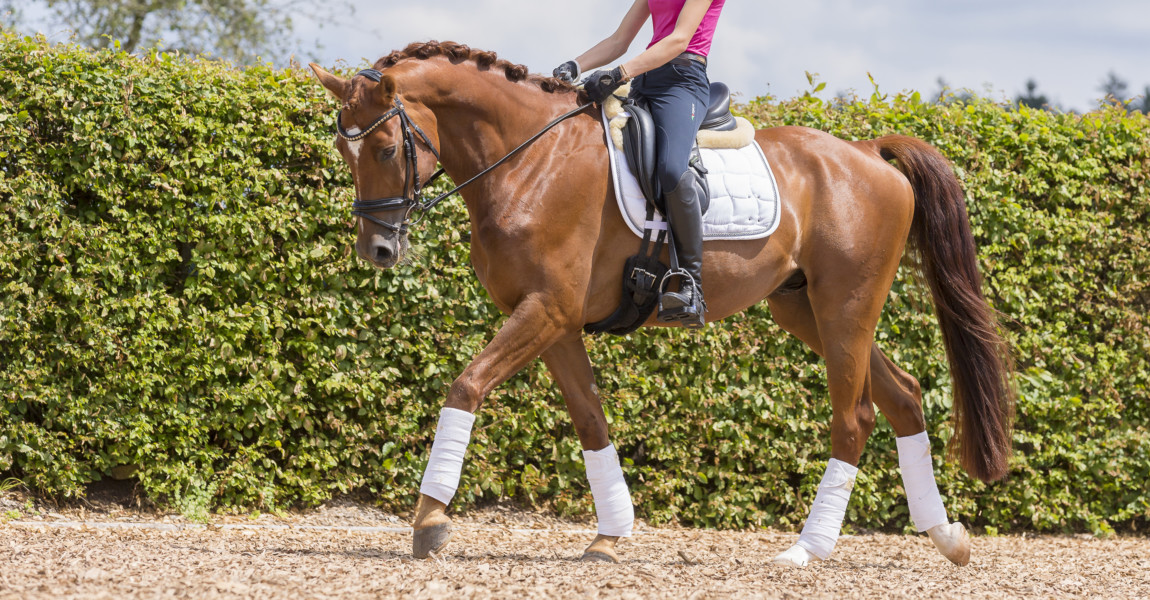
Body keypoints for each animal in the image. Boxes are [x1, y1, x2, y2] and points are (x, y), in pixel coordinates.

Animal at [308, 40, 1016, 565]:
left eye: (386, 148)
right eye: (343, 149)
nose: (378, 249)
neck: (529, 160)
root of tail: (868, 152)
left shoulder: (546, 309)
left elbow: (466, 386)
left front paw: (429, 520)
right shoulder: (556, 322)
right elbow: (591, 422)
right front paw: (610, 536)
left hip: (846, 305)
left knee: (857, 415)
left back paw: (808, 549)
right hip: (805, 308)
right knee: (904, 396)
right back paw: (947, 536)